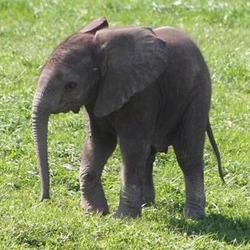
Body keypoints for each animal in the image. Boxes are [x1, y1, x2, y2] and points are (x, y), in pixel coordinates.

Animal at [31, 16, 225, 218]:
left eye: (71, 85)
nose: (44, 198)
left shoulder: (142, 93)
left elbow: (132, 147)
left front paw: (122, 218)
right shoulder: (99, 95)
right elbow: (99, 143)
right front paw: (95, 212)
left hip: (197, 94)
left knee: (187, 153)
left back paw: (193, 215)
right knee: (149, 155)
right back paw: (147, 205)